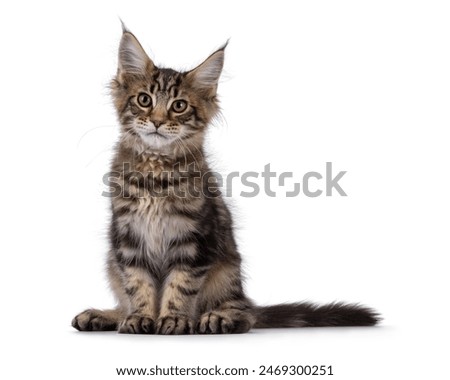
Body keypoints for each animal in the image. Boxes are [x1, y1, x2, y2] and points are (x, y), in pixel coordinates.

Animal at [71, 28, 380, 334]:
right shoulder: (128, 238)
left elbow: (180, 286)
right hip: (112, 262)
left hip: (227, 272)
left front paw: (173, 318)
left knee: (244, 314)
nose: (157, 121)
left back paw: (218, 318)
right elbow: (137, 285)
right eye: (144, 100)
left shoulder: (194, 240)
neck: (155, 172)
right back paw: (103, 316)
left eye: (179, 106)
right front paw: (140, 317)